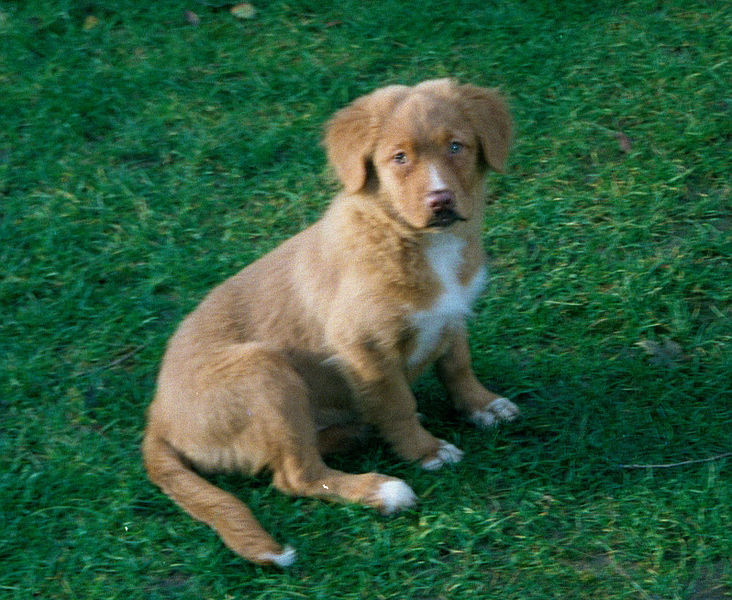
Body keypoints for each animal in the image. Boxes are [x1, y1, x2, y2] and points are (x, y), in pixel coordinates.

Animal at [143, 77, 516, 564]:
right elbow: (398, 403)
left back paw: (356, 433)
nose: (441, 201)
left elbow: (457, 366)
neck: (416, 240)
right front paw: (426, 451)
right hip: (264, 371)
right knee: (293, 474)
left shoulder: (451, 315)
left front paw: (482, 405)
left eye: (457, 146)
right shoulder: (365, 348)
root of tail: (158, 420)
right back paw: (383, 490)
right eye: (399, 158)